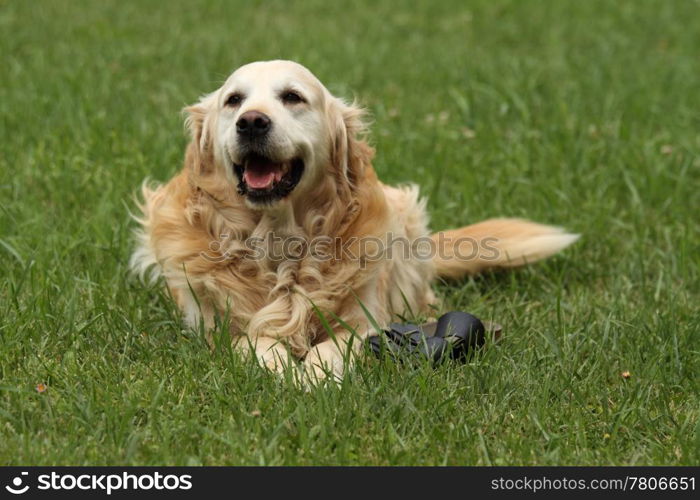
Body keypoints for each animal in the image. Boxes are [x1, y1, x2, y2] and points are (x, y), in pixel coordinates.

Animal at [131, 60, 580, 380]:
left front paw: (313, 375)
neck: (279, 240)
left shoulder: (364, 319)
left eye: (292, 97)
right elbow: (256, 340)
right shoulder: (222, 325)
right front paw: (279, 368)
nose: (252, 122)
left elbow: (335, 345)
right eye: (233, 100)